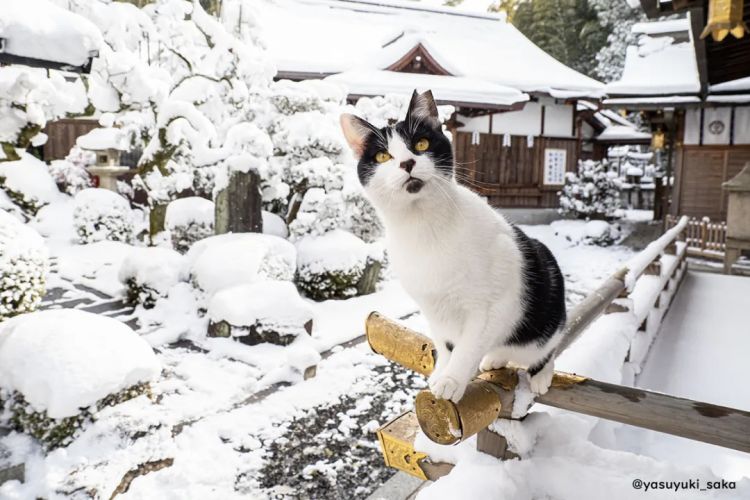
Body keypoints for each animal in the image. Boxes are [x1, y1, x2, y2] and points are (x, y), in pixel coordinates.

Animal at [340, 90, 564, 402]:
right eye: (383, 156)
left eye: (421, 144)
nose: (407, 163)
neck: (423, 228)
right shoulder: (433, 308)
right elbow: (447, 345)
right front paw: (441, 373)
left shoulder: (494, 305)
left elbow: (468, 345)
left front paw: (452, 380)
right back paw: (495, 359)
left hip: (542, 311)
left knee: (547, 347)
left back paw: (541, 374)